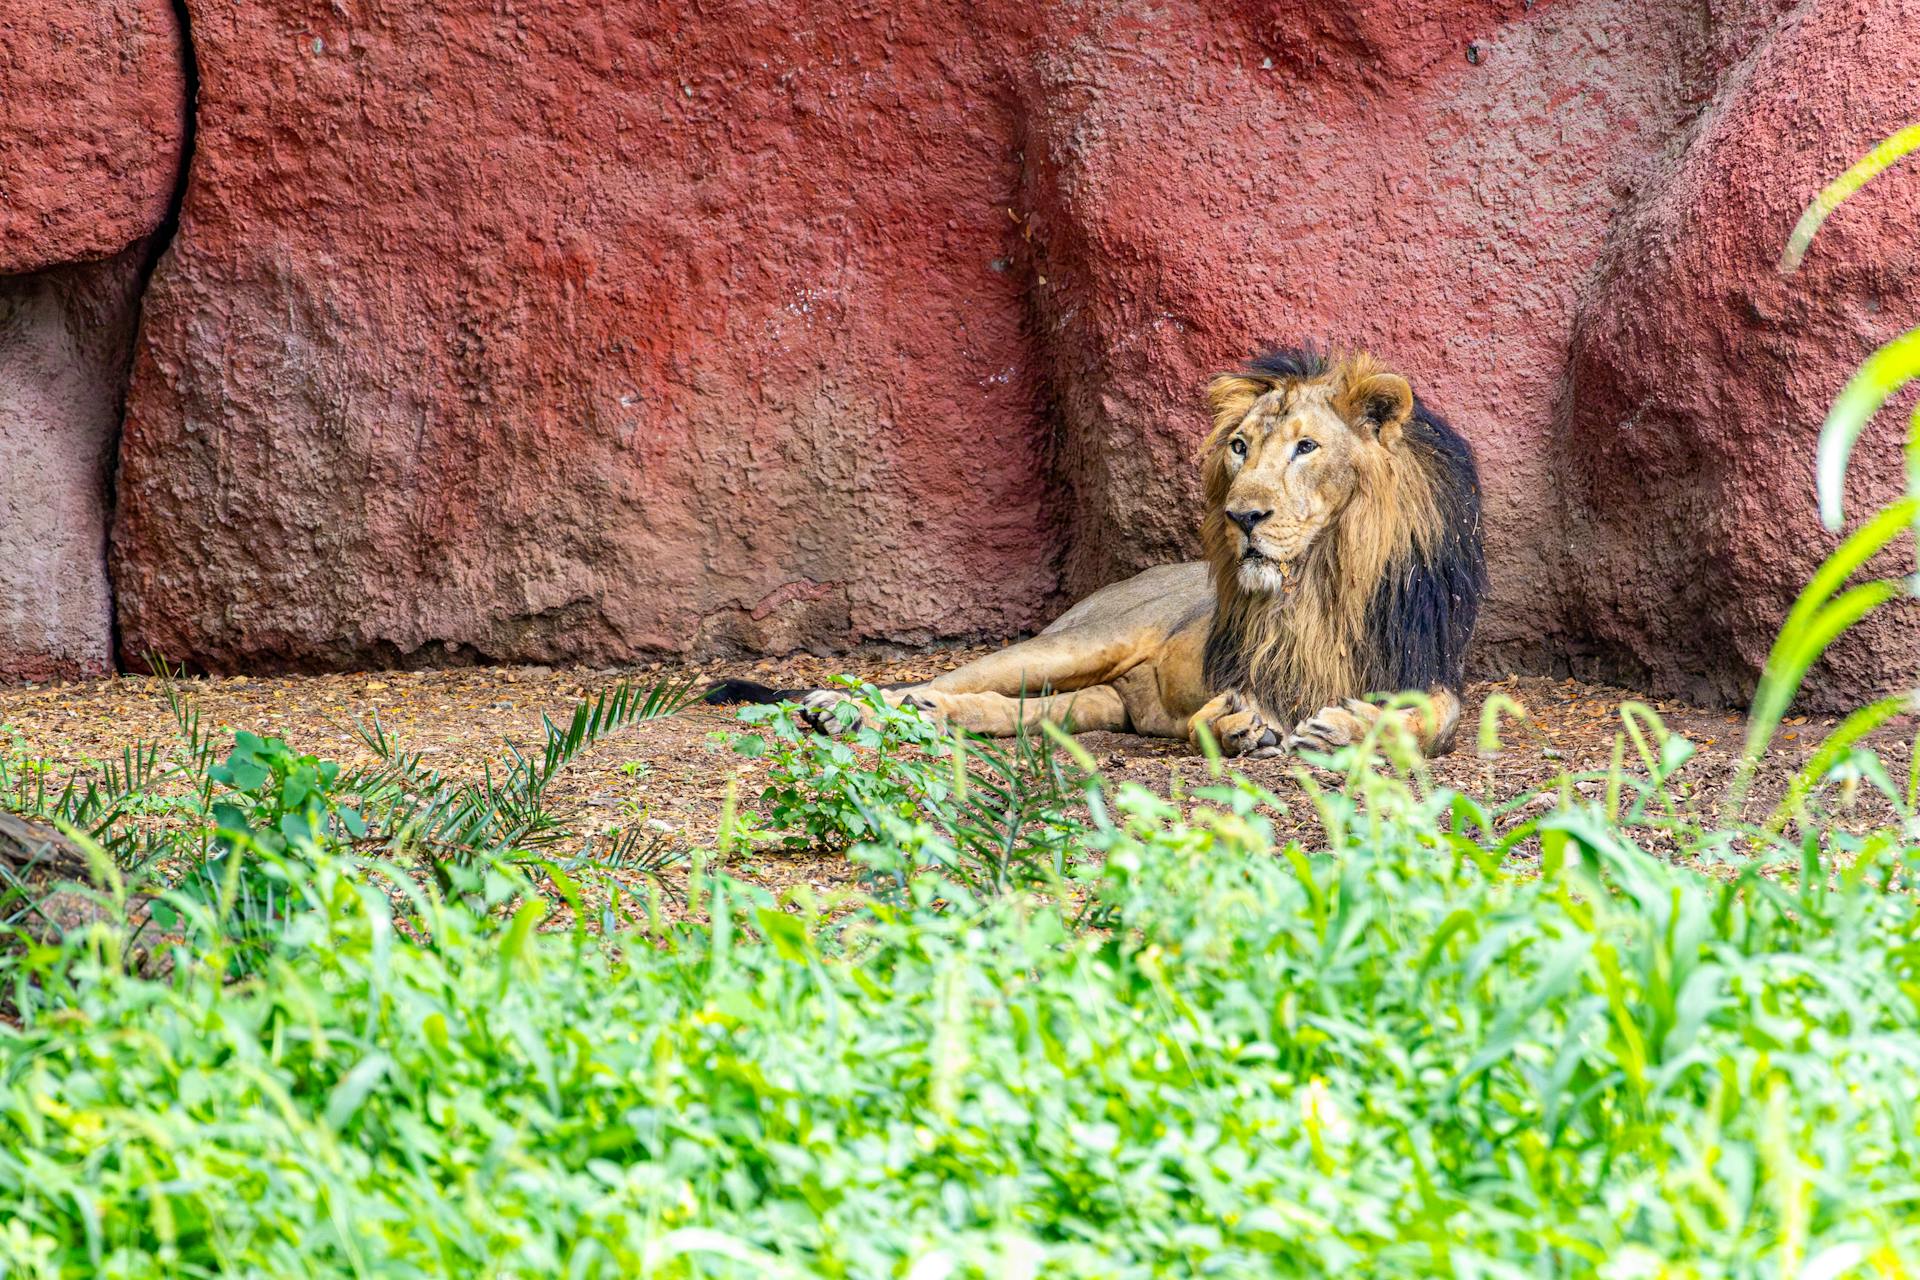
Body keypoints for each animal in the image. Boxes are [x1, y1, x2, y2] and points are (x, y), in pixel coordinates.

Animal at [706, 345, 1482, 756]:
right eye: (1239, 447)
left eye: (1306, 448)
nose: (1243, 516)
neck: (1316, 579)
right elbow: (1222, 712)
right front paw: (1237, 723)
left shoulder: (1425, 664)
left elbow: (1437, 717)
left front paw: (1349, 725)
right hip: (1076, 643)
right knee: (925, 683)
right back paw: (842, 710)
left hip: (1095, 703)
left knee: (1010, 712)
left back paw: (928, 718)